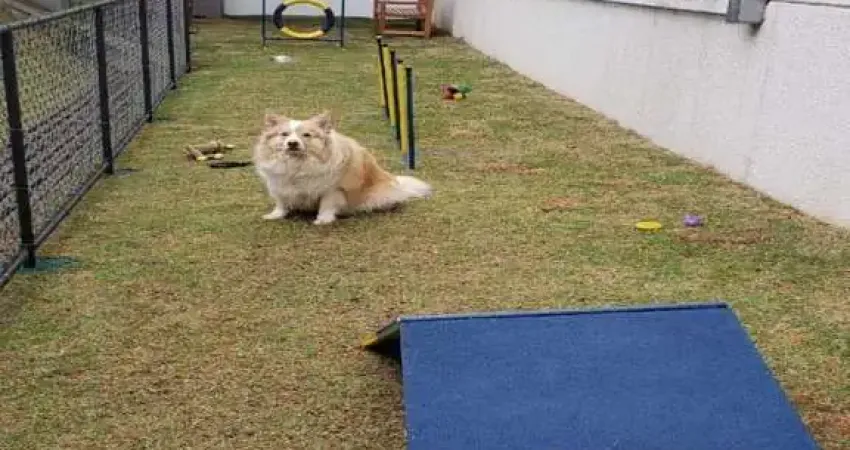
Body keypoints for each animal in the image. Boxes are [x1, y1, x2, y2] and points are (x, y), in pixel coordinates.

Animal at [253, 111, 433, 225]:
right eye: (284, 134)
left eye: (306, 135)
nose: (292, 143)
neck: (298, 164)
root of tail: (397, 183)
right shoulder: (279, 184)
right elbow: (281, 202)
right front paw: (276, 215)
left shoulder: (332, 189)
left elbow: (326, 204)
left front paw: (323, 220)